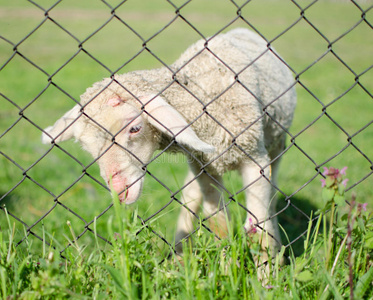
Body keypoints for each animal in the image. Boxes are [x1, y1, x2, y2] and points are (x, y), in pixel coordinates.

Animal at [41, 28, 296, 276]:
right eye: (86, 146)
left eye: (135, 128)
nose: (119, 191)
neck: (200, 96)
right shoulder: (204, 167)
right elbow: (219, 227)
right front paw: (227, 273)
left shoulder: (254, 158)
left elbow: (259, 231)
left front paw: (264, 278)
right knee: (190, 196)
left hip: (276, 145)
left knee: (272, 198)